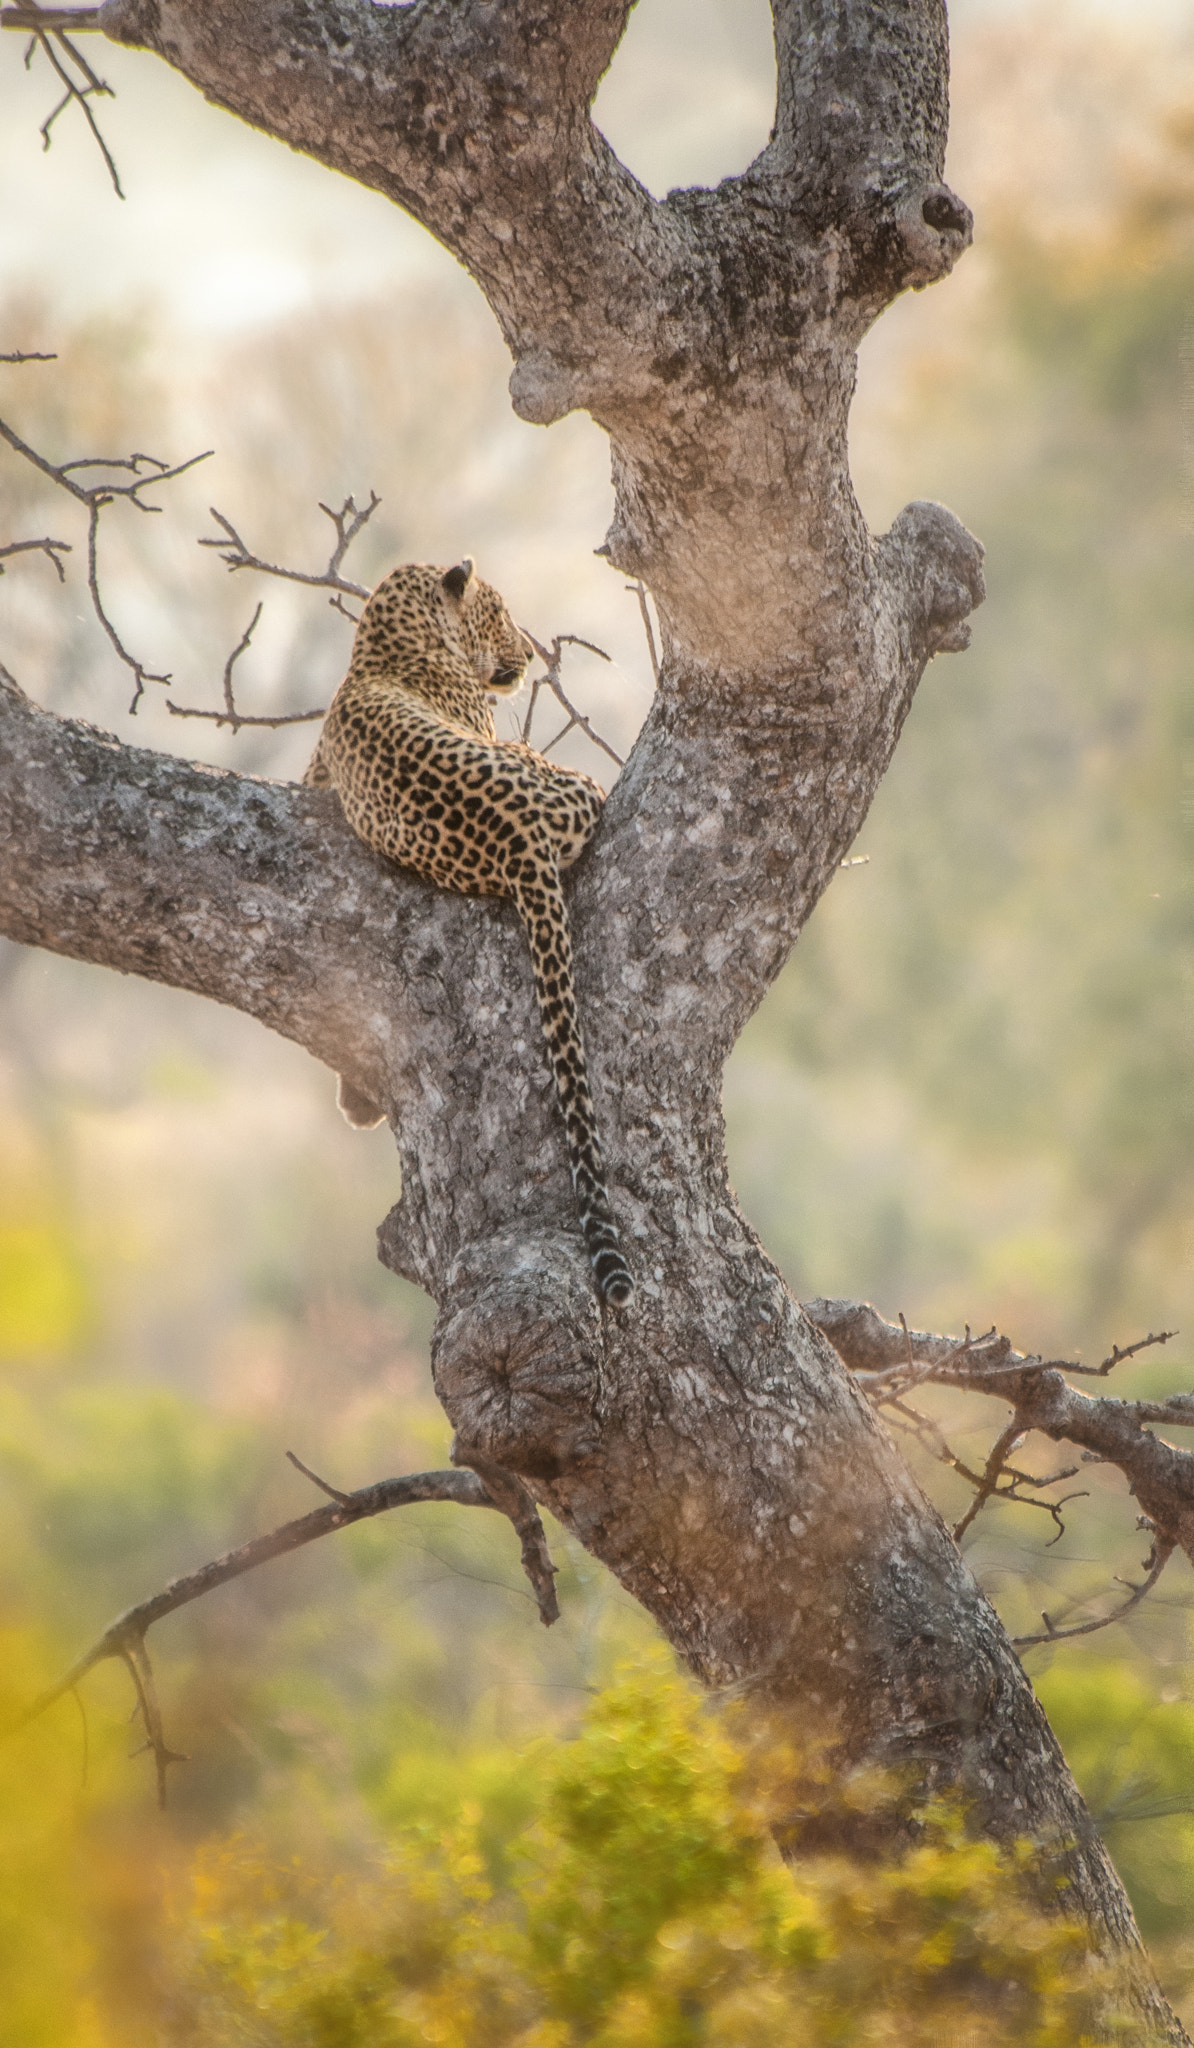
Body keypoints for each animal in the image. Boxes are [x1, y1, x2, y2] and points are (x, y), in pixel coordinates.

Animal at [304, 558, 634, 1308]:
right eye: (501, 613)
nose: (530, 653)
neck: (387, 644)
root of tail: (519, 837)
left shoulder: (313, 778)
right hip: (568, 781)